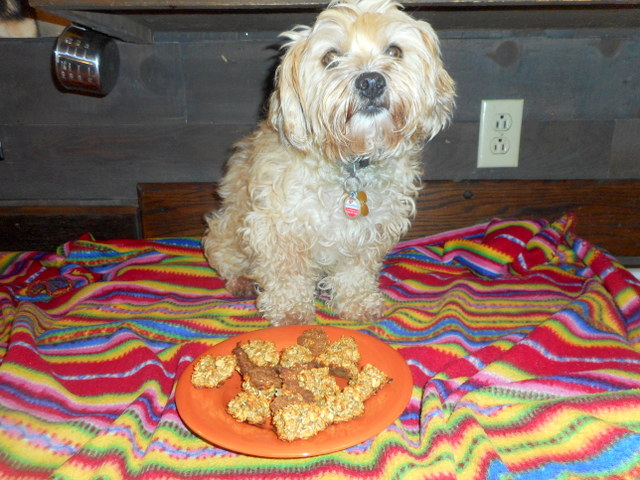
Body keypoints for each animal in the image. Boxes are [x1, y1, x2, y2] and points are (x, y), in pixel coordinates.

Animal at [204, 0, 456, 326]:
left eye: (394, 51)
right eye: (330, 57)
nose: (371, 81)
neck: (349, 162)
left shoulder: (369, 231)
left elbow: (355, 272)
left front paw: (357, 303)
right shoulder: (278, 227)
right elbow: (288, 274)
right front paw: (291, 311)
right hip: (227, 230)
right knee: (225, 260)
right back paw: (244, 281)